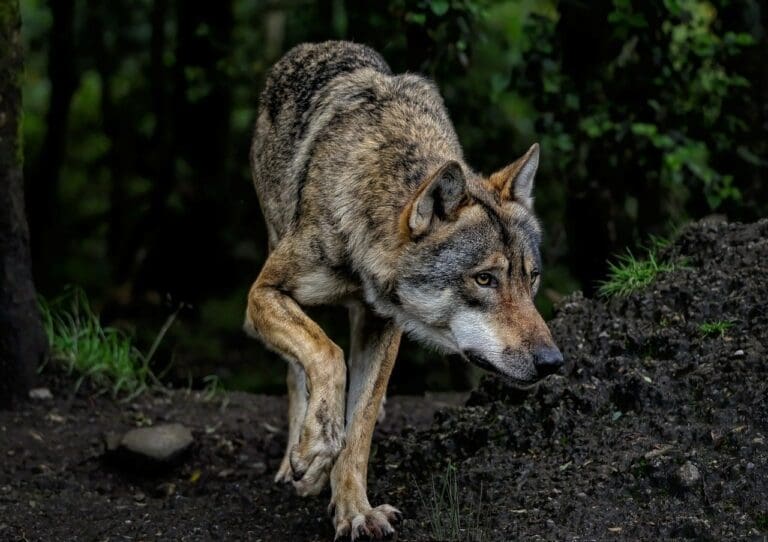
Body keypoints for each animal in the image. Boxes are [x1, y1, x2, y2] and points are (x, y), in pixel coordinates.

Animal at [244, 41, 563, 540]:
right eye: (484, 279)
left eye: (530, 278)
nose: (553, 362)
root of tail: (310, 48)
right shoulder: (263, 293)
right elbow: (326, 355)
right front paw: (315, 449)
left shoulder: (384, 324)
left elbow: (360, 427)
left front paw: (354, 511)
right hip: (274, 248)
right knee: (298, 370)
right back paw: (299, 457)